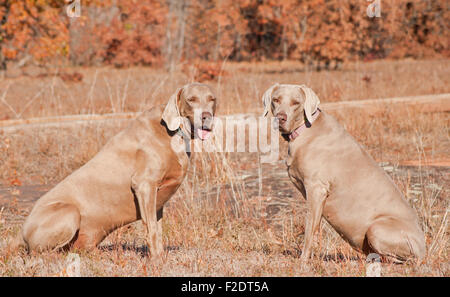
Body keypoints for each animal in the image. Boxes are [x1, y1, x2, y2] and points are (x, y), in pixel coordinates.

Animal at [14, 82, 217, 253]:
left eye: (212, 99)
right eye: (191, 99)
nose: (206, 117)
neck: (175, 132)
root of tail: (21, 234)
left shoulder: (158, 198)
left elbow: (158, 229)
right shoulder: (144, 185)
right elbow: (151, 228)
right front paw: (157, 261)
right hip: (69, 213)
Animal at [262, 83, 424, 262]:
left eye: (296, 102)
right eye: (276, 100)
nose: (280, 118)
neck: (305, 130)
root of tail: (423, 248)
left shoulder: (316, 189)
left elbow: (310, 228)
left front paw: (303, 260)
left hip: (377, 228)